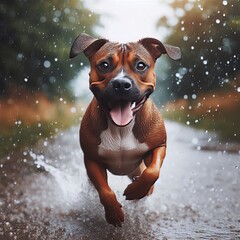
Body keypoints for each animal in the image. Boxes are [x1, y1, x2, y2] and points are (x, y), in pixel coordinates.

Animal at [69, 33, 180, 227]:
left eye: (141, 65)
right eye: (104, 65)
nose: (121, 84)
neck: (121, 129)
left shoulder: (158, 146)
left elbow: (152, 171)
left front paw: (138, 190)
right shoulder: (92, 159)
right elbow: (104, 190)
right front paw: (113, 213)